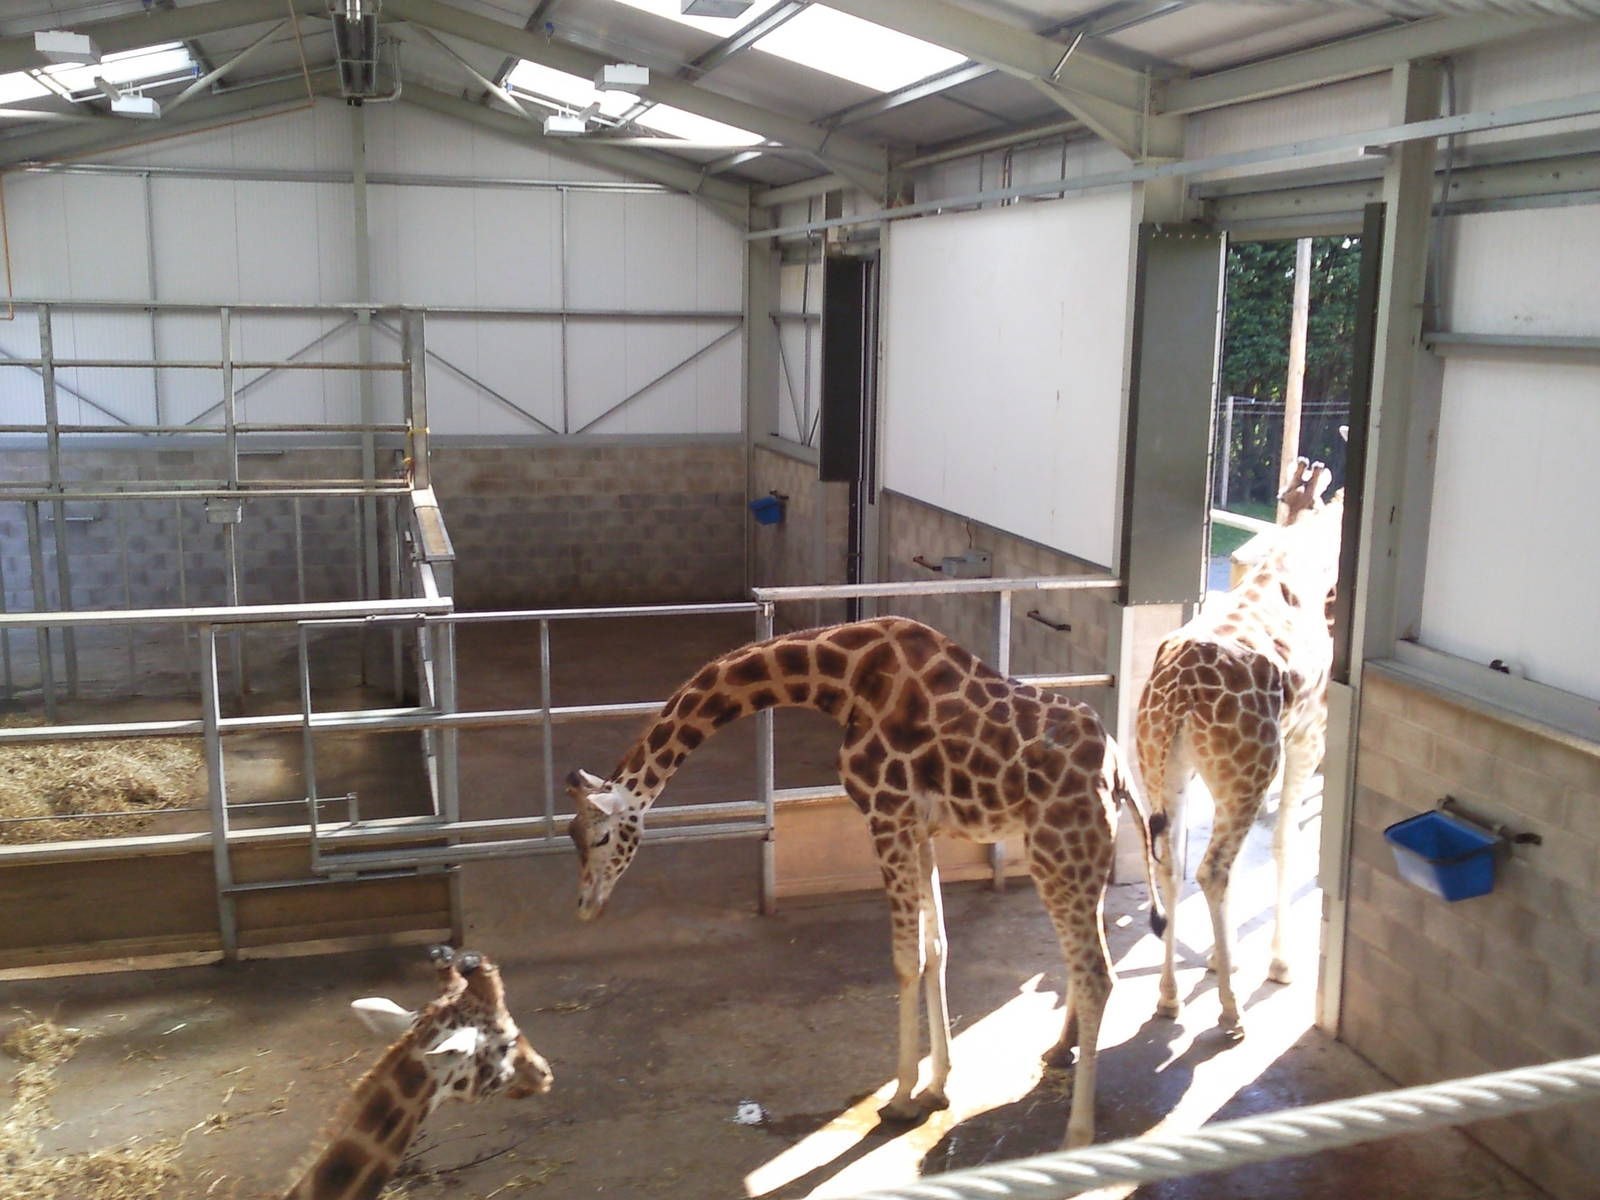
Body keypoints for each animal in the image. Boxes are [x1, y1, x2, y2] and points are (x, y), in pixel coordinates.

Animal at [565, 616, 1165, 1149]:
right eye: (571, 835)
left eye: (601, 838)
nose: (585, 906)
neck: (842, 680)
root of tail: (1116, 771)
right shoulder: (920, 828)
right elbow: (936, 947)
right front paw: (937, 1087)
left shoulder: (886, 815)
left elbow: (904, 958)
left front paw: (900, 1099)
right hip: (1080, 855)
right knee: (1085, 960)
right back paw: (1059, 1052)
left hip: (1059, 848)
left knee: (1098, 973)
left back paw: (1077, 1132)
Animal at [1134, 458, 1344, 1039]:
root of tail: (1178, 696)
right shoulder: (1308, 734)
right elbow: (1287, 843)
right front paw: (1280, 964)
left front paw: (1217, 959)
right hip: (1248, 772)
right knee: (1212, 869)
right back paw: (1230, 1013)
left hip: (1162, 765)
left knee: (1172, 864)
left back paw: (1169, 998)